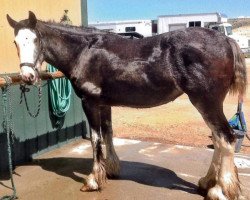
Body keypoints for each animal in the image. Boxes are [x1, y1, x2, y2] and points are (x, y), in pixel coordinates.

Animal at [6, 11, 247, 199]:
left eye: (35, 40)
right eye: (15, 42)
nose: (27, 77)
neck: (85, 51)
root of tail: (227, 41)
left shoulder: (90, 102)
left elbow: (95, 139)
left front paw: (93, 181)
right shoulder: (104, 104)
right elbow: (108, 134)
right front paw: (111, 170)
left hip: (206, 101)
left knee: (225, 138)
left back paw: (220, 190)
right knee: (217, 139)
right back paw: (207, 182)